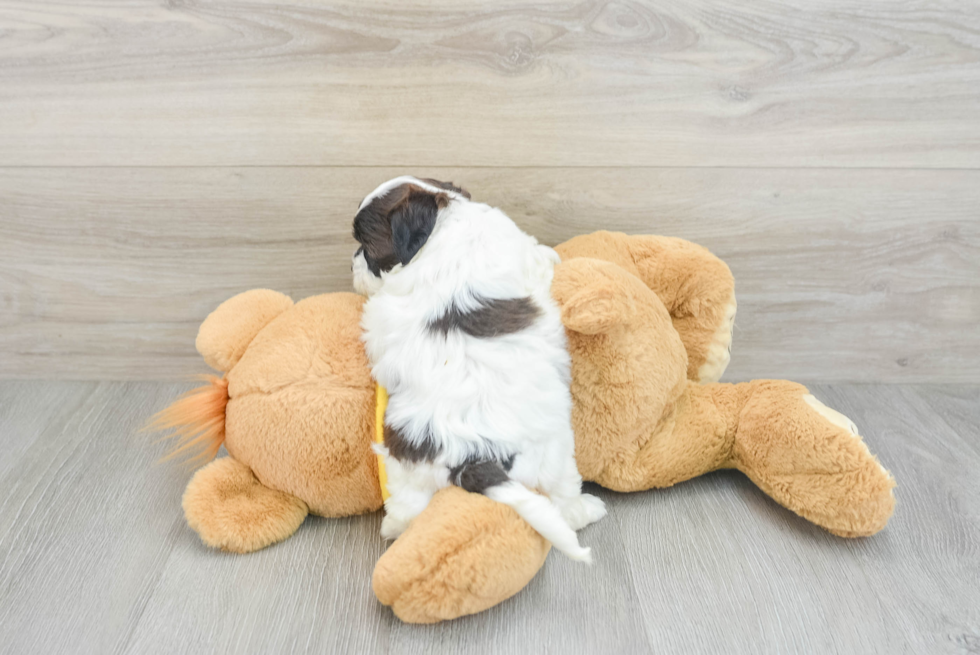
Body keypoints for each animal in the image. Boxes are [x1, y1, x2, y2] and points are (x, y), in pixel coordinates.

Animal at [348, 176, 600, 564]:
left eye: (365, 246)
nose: (352, 264)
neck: (442, 224)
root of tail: (473, 455)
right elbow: (540, 255)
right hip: (557, 451)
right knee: (564, 500)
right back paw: (586, 509)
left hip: (408, 470)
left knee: (408, 508)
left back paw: (396, 529)